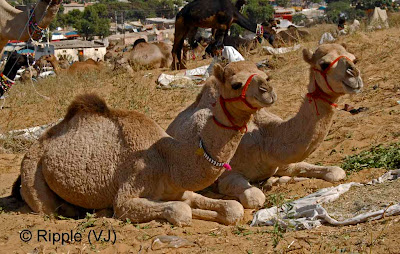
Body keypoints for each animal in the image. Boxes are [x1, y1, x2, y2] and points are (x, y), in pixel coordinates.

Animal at [16, 61, 278, 226]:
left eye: (263, 73)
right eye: (236, 84)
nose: (268, 89)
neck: (168, 161)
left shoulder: (180, 188)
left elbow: (232, 208)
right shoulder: (127, 196)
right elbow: (181, 211)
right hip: (32, 175)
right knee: (47, 208)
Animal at [166, 44, 362, 210]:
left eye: (354, 58)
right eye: (324, 64)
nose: (354, 75)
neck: (264, 140)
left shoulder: (280, 162)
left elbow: (335, 171)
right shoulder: (225, 175)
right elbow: (254, 196)